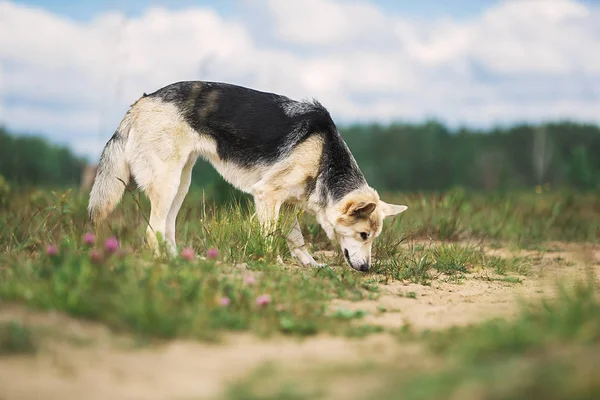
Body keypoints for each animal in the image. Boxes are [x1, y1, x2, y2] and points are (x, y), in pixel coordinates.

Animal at [88, 83, 408, 274]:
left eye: (373, 237)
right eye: (363, 235)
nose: (366, 270)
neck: (324, 155)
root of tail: (140, 103)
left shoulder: (287, 204)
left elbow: (298, 242)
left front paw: (312, 266)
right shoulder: (267, 195)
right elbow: (270, 238)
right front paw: (272, 265)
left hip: (181, 185)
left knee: (165, 230)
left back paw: (181, 260)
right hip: (167, 184)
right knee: (151, 233)